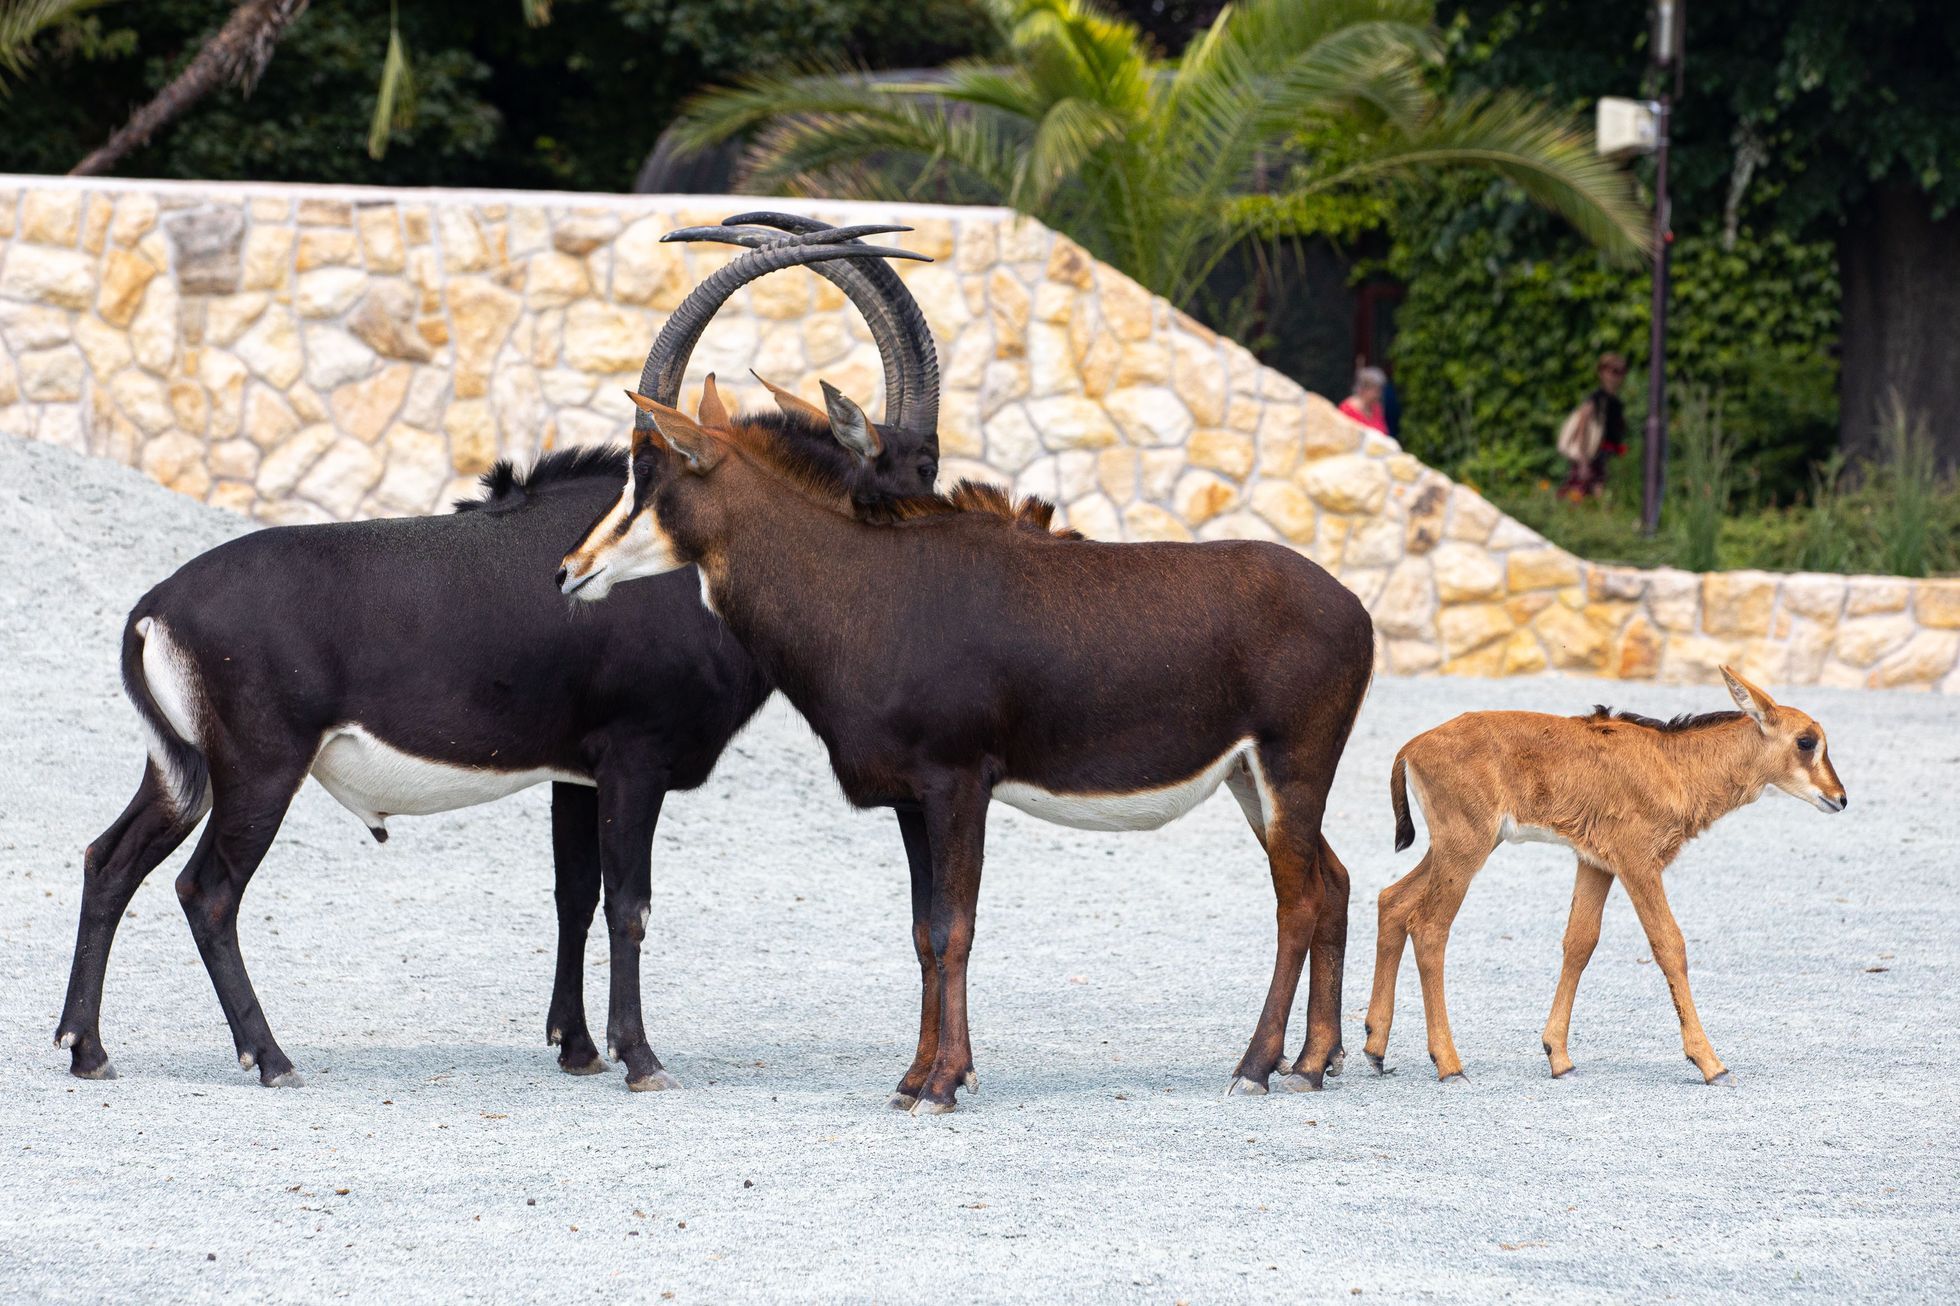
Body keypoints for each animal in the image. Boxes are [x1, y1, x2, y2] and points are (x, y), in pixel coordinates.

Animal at [57, 215, 944, 1090]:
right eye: (921, 463)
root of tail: (156, 607)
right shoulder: (635, 758)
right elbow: (628, 903)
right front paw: (639, 1057)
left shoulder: (576, 774)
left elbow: (573, 896)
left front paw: (578, 1047)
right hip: (260, 770)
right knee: (207, 892)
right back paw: (270, 1058)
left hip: (185, 770)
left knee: (111, 860)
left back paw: (87, 1048)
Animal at [556, 384, 1379, 1105]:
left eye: (648, 475)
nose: (569, 571)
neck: (869, 587)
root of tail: (1356, 609)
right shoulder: (911, 802)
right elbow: (926, 932)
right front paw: (913, 1078)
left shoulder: (959, 784)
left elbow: (956, 928)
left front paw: (945, 1085)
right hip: (1250, 781)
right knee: (1333, 880)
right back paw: (1313, 1063)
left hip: (1291, 768)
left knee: (1299, 901)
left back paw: (1257, 1068)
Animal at [1356, 666, 1842, 1082]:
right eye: (1806, 741)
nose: (1840, 798)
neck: (1674, 763)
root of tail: (1412, 747)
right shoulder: (1637, 862)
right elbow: (1669, 945)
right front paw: (1711, 1063)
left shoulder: (1595, 863)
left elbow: (1580, 942)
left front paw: (1559, 1057)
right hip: (1466, 847)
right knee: (1430, 926)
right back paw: (1448, 1064)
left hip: (1460, 846)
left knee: (1392, 900)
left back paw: (1375, 1049)